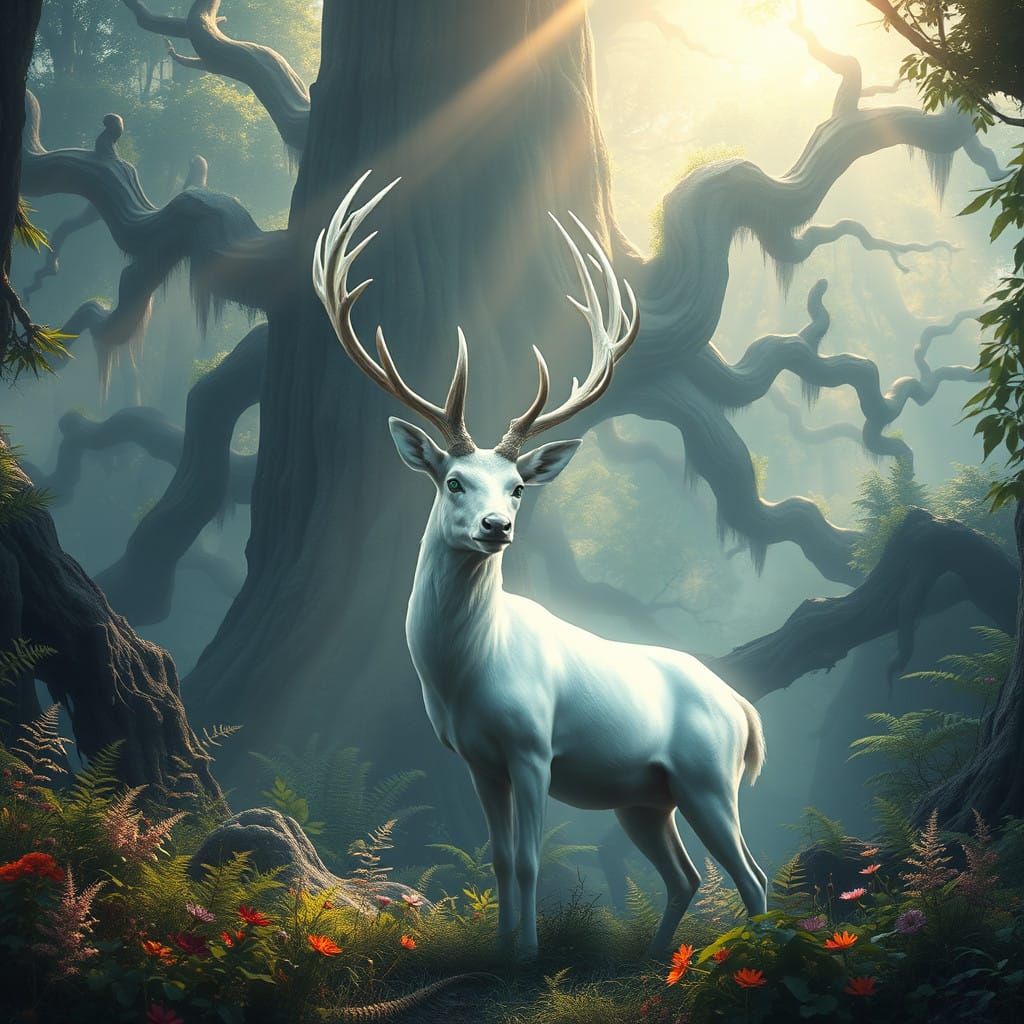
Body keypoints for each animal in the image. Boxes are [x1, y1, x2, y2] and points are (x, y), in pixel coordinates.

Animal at [312, 172, 768, 960]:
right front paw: (502, 949)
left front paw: (528, 955)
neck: (468, 675)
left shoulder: (533, 747)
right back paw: (659, 957)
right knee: (685, 877)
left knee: (753, 876)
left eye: (518, 487)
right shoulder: (476, 759)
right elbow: (499, 858)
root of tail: (743, 709)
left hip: (710, 779)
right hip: (645, 799)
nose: (497, 528)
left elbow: (528, 858)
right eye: (453, 481)